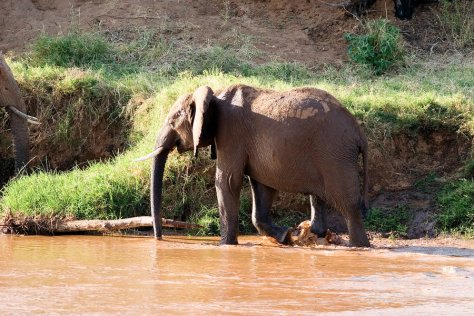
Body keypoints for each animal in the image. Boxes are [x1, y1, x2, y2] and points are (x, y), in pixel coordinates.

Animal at [136, 85, 370, 248]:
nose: (159, 238)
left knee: (349, 205)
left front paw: (225, 245)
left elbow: (227, 181)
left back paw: (358, 247)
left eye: (173, 120)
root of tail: (359, 132)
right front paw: (285, 236)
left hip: (335, 155)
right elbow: (261, 186)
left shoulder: (231, 132)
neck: (214, 95)